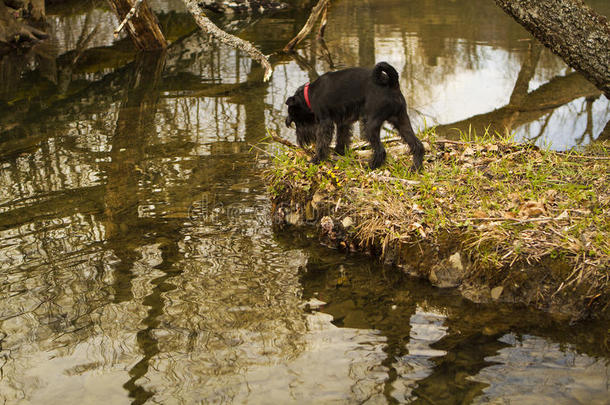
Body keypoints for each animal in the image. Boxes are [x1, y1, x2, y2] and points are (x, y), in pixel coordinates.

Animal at [284, 61, 422, 170]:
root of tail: (392, 84)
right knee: (417, 145)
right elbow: (342, 137)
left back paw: (371, 166)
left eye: (297, 120)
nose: (301, 141)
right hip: (401, 120)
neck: (309, 95)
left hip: (370, 124)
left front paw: (317, 159)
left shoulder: (325, 122)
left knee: (381, 150)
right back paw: (416, 167)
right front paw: (339, 152)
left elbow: (322, 142)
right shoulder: (343, 121)